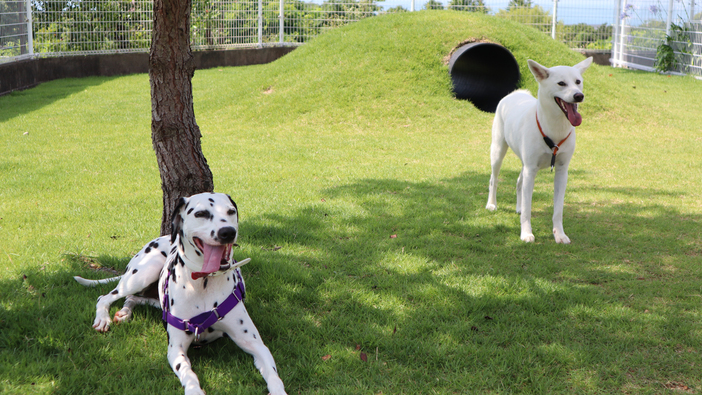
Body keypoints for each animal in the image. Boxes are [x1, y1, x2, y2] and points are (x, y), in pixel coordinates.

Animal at [73, 193, 286, 395]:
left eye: (231, 211)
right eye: (201, 213)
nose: (227, 232)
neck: (204, 283)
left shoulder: (255, 344)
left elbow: (273, 374)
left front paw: (278, 390)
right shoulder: (176, 348)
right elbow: (188, 373)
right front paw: (194, 390)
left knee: (132, 298)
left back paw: (125, 313)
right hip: (142, 273)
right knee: (106, 297)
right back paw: (103, 318)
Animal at [490, 56, 592, 243]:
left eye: (578, 82)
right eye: (561, 83)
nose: (579, 96)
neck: (555, 129)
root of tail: (515, 94)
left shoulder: (561, 171)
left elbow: (558, 210)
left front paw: (560, 235)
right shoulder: (531, 169)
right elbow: (528, 208)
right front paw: (526, 233)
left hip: (524, 162)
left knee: (519, 182)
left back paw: (518, 207)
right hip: (498, 151)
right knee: (494, 179)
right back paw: (491, 204)